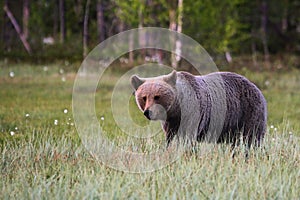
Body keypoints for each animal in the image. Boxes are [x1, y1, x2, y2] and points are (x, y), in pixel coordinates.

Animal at [131, 70, 268, 150]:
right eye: (144, 97)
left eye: (157, 96)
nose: (148, 112)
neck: (177, 109)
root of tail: (255, 86)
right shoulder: (171, 122)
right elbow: (170, 137)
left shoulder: (194, 113)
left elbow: (188, 138)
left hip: (249, 111)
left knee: (251, 137)